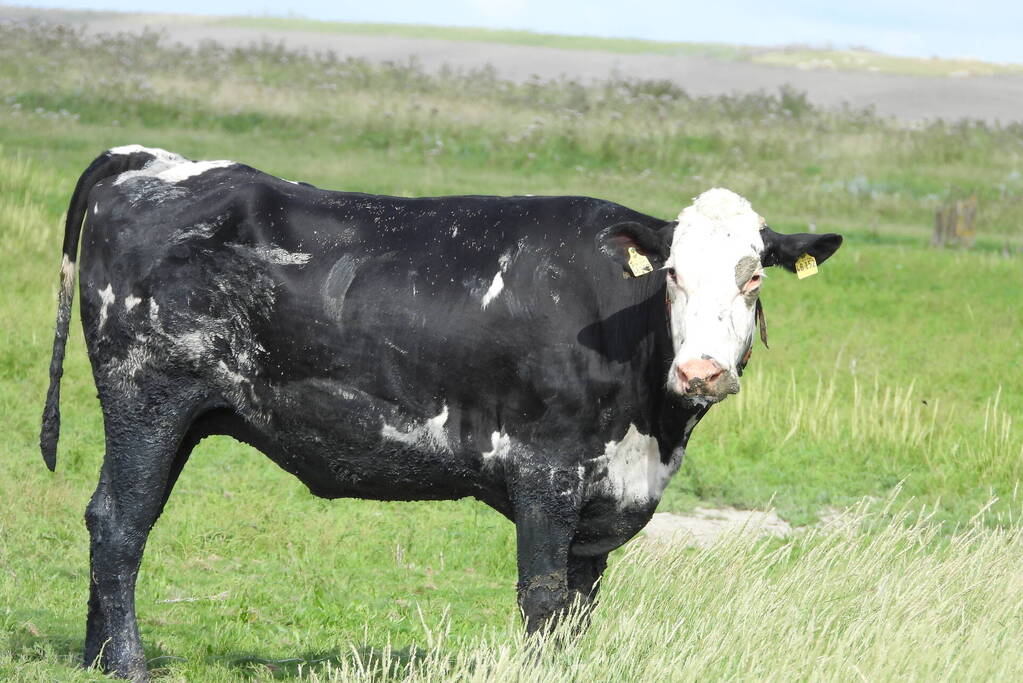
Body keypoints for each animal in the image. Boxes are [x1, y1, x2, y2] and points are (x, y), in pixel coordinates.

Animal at [39, 144, 842, 678]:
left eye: (752, 277)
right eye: (672, 273)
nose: (701, 370)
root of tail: (147, 159)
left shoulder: (605, 492)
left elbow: (578, 606)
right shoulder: (546, 470)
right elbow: (543, 596)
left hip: (176, 415)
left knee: (113, 513)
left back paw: (96, 658)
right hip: (148, 397)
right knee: (120, 522)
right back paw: (128, 663)